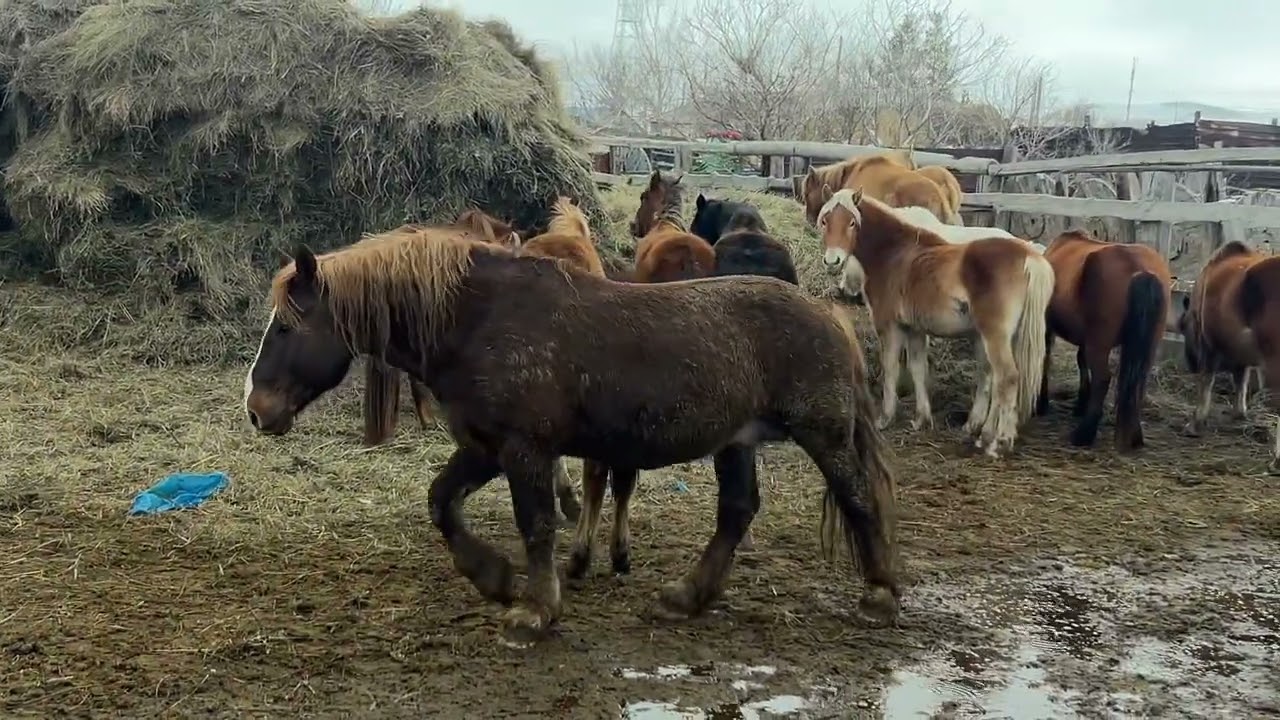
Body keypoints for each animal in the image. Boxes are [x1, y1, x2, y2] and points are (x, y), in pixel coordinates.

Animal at [243, 228, 901, 647]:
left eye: (286, 326)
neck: (480, 320)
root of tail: (829, 316)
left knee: (858, 499)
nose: (255, 408)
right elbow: (441, 501)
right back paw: (686, 597)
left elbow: (536, 526)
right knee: (736, 512)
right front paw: (492, 578)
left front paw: (534, 612)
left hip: (823, 435)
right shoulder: (485, 446)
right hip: (736, 442)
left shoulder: (525, 449)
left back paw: (879, 596)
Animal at [817, 187, 1054, 457]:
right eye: (825, 220)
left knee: (1007, 378)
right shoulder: (915, 330)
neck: (895, 253)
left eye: (852, 222)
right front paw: (921, 419)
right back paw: (985, 434)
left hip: (994, 335)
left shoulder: (889, 326)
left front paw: (884, 419)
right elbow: (918, 369)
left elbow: (891, 368)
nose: (832, 261)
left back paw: (996, 443)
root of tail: (1029, 255)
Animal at [1034, 230, 1172, 450]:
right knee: (1139, 381)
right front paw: (1081, 403)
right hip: (1148, 345)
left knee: (1103, 378)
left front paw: (1042, 402)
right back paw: (1134, 436)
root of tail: (1140, 270)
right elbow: (1081, 361)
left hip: (1099, 344)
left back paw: (1084, 434)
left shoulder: (1048, 327)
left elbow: (1046, 360)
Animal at [1178, 240, 1280, 467]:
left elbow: (1206, 382)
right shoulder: (1242, 357)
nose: (1189, 363)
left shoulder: (1208, 345)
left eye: (1182, 326)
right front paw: (1239, 414)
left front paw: (1196, 423)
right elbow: (1241, 381)